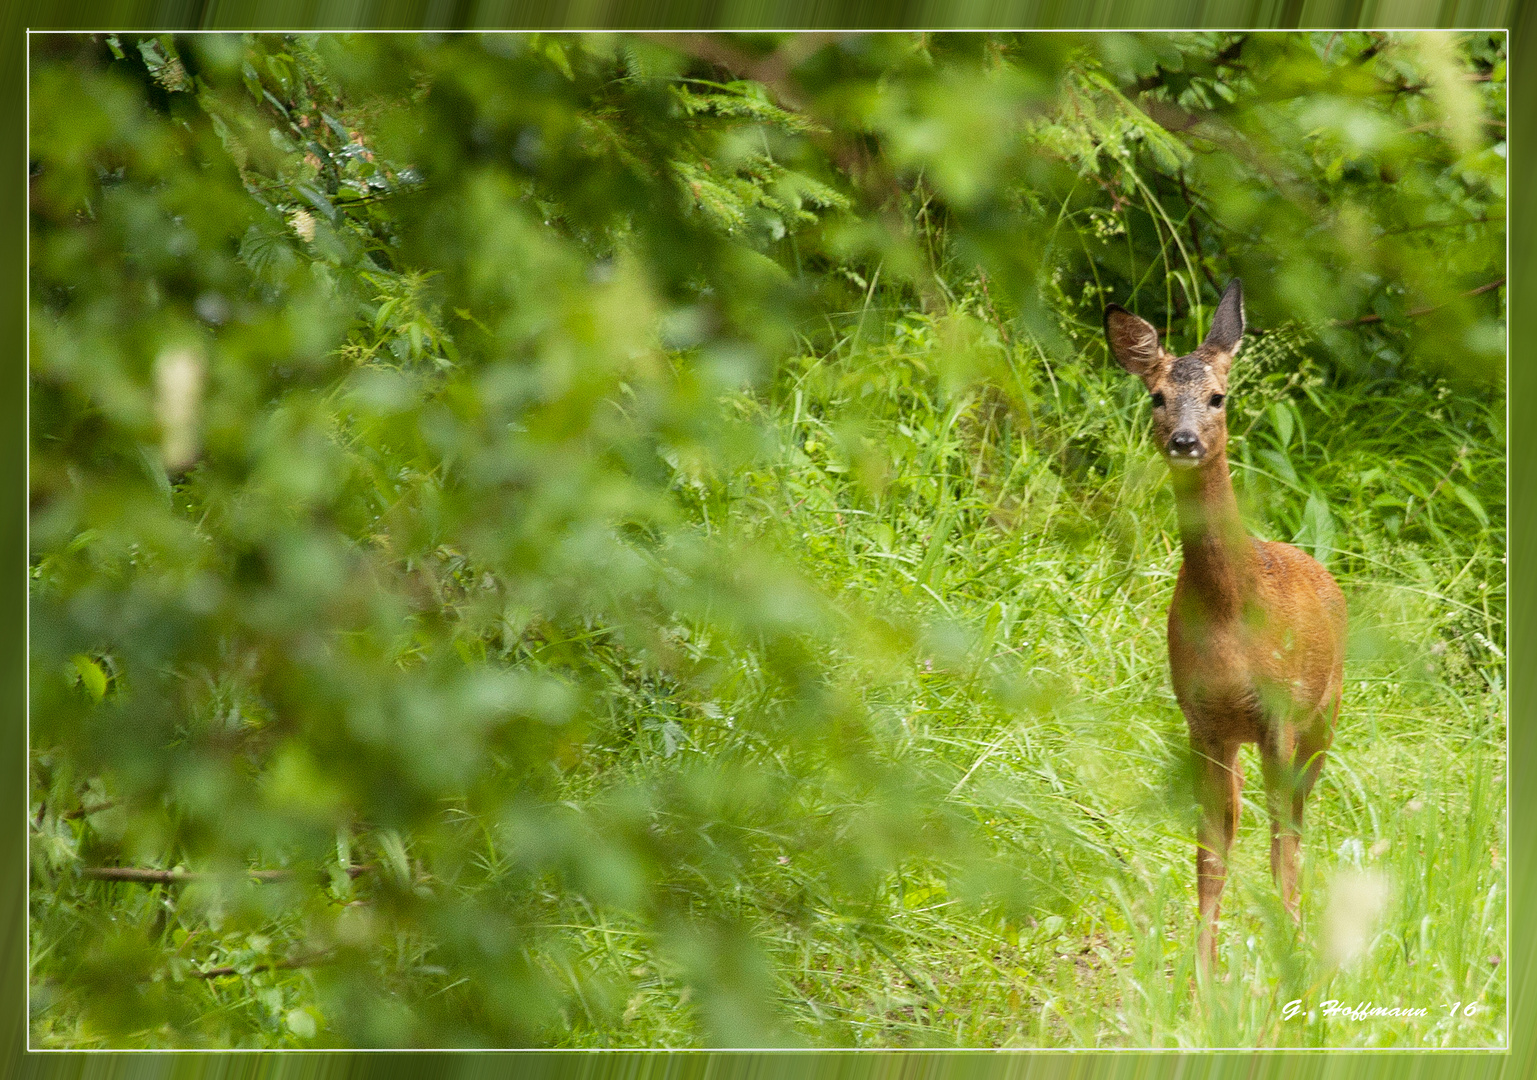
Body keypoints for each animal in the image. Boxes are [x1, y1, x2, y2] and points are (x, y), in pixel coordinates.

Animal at [1106, 282, 1346, 977]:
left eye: (1218, 396)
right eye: (1156, 396)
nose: (1185, 440)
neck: (1229, 615)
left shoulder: (1280, 715)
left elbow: (1280, 844)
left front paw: (1290, 954)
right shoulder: (1200, 715)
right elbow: (1209, 849)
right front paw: (1200, 977)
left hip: (1325, 716)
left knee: (1294, 823)